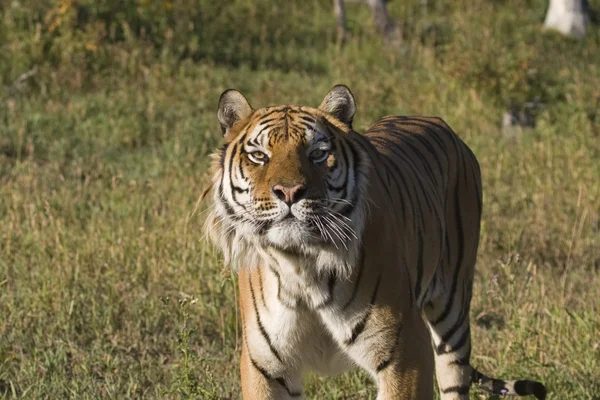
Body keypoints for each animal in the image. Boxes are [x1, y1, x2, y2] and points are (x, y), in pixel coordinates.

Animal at [204, 85, 548, 400]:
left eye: (318, 154)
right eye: (259, 156)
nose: (289, 192)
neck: (300, 263)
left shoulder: (405, 353)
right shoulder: (264, 365)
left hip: (453, 306)